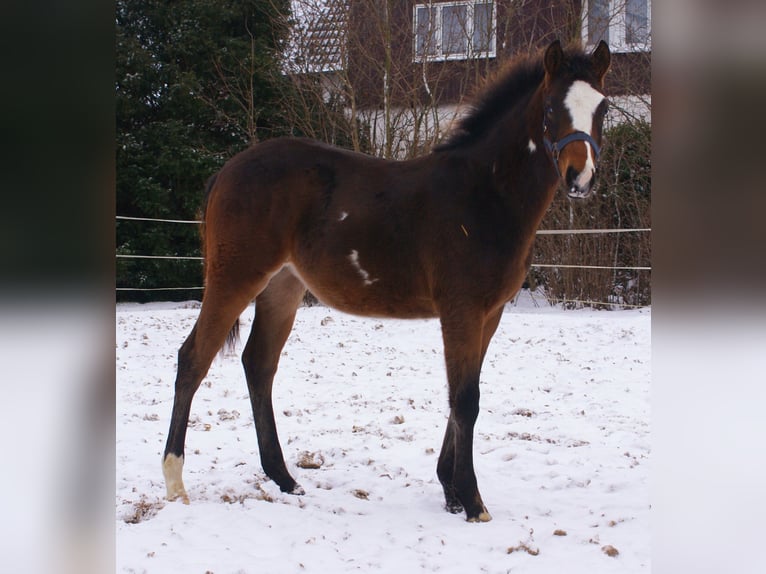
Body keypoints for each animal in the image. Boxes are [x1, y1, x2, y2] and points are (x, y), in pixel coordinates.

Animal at [162, 40, 611, 522]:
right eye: (550, 108)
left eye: (602, 107)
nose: (580, 177)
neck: (484, 193)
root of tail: (226, 171)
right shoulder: (462, 309)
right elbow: (465, 399)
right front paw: (473, 502)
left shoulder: (489, 314)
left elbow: (460, 394)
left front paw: (451, 491)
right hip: (235, 277)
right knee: (193, 359)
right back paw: (174, 482)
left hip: (282, 288)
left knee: (258, 364)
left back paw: (284, 479)